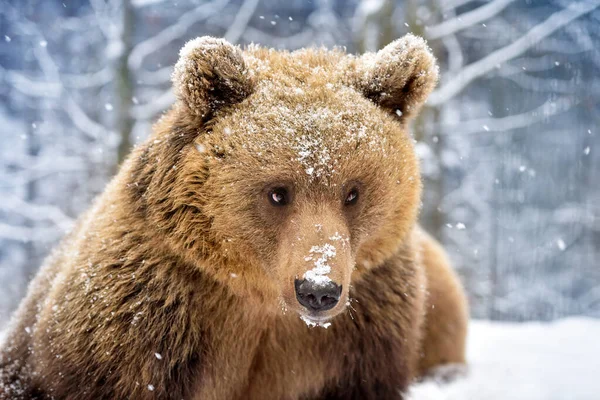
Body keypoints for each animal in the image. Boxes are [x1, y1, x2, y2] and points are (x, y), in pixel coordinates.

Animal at [0, 35, 466, 400]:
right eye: (278, 192)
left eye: (352, 192)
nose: (318, 290)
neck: (261, 301)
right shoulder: (143, 324)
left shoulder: (363, 333)